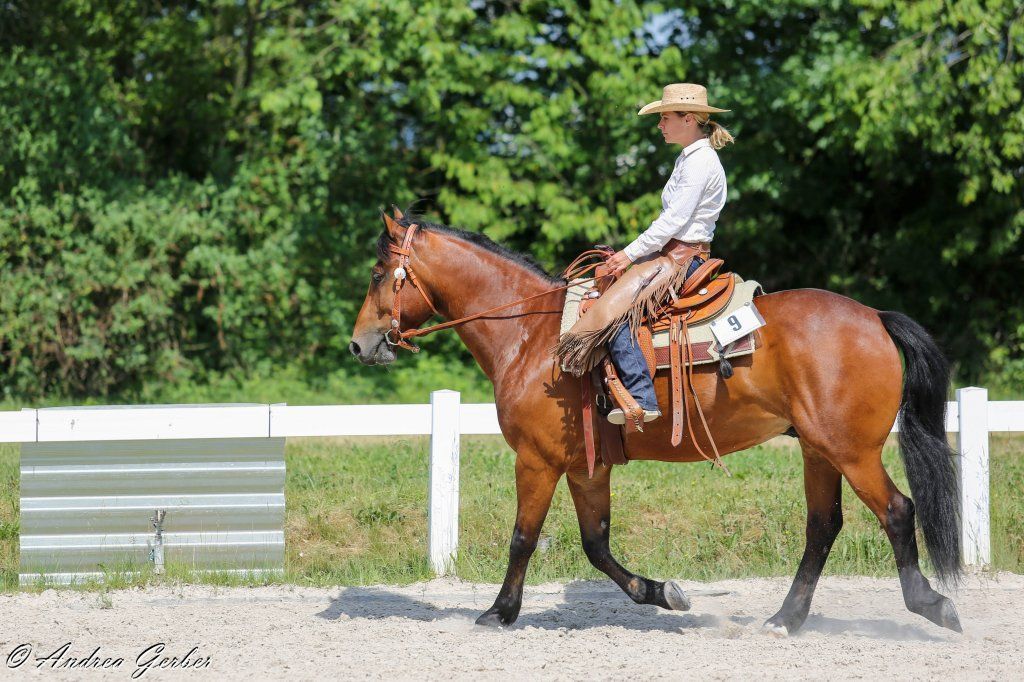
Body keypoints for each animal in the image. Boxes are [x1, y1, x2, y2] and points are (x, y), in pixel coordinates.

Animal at [349, 210, 963, 636]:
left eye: (379, 273)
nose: (359, 344)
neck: (531, 336)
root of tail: (874, 317)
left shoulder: (537, 461)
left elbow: (523, 537)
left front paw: (499, 612)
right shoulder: (586, 467)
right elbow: (596, 545)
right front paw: (665, 593)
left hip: (852, 451)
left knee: (897, 512)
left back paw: (934, 606)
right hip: (819, 450)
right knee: (822, 527)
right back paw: (784, 619)